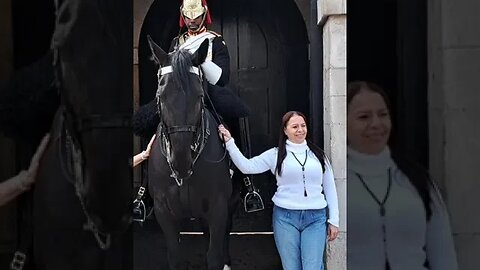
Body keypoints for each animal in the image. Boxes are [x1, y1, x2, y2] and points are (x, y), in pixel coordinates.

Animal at [147, 37, 235, 270]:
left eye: (199, 95)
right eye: (161, 95)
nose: (181, 162)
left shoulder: (218, 207)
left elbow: (214, 256)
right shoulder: (163, 211)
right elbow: (174, 257)